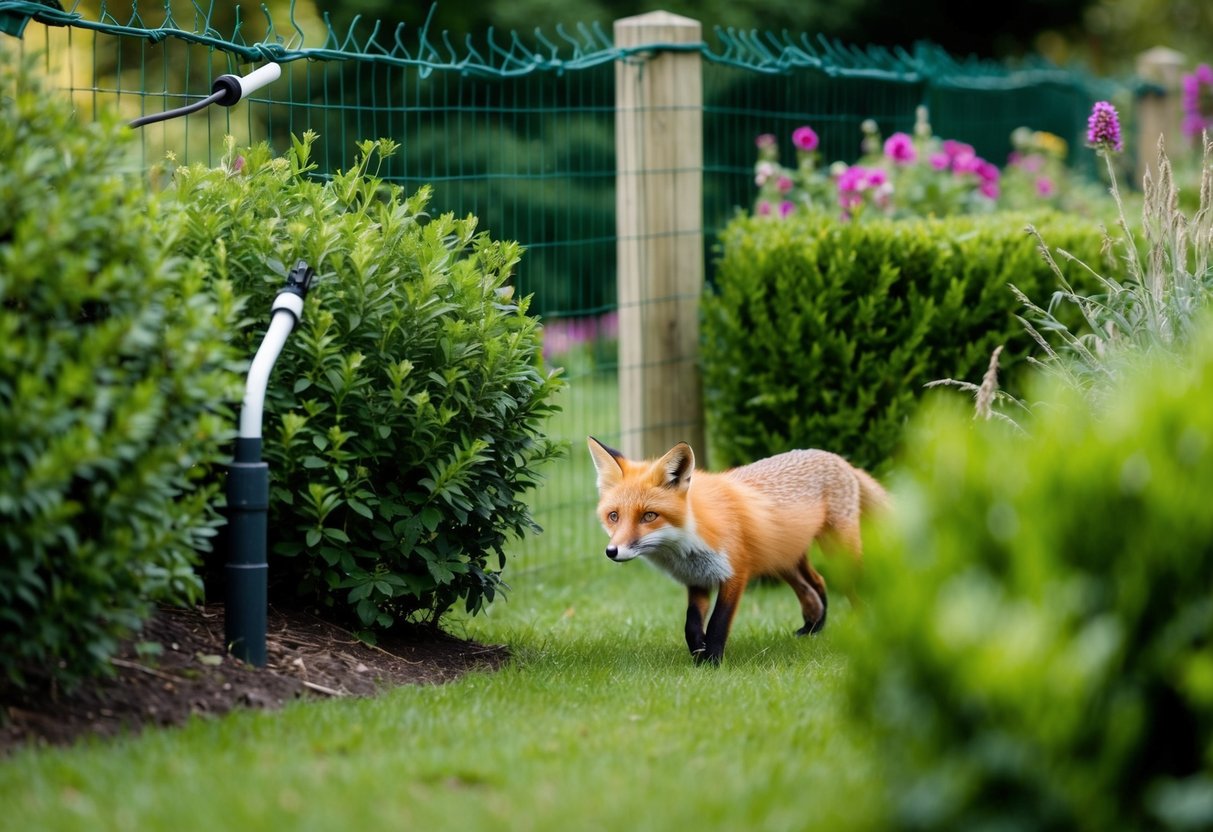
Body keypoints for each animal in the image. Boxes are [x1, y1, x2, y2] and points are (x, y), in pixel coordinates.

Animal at [588, 436, 889, 665]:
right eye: (613, 516)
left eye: (649, 516)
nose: (612, 551)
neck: (688, 541)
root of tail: (835, 457)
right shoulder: (697, 579)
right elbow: (691, 623)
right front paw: (698, 653)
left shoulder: (735, 573)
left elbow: (718, 622)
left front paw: (712, 662)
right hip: (783, 560)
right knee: (815, 583)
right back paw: (814, 629)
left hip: (838, 553)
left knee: (854, 587)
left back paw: (869, 625)